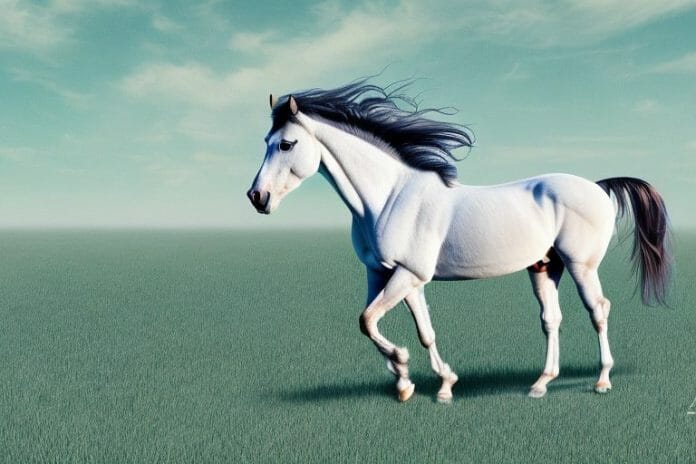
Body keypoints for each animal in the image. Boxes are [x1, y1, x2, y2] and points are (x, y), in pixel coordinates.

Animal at [246, 80, 672, 403]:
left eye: (286, 144)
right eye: (265, 139)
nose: (257, 197)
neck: (388, 197)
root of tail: (597, 187)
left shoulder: (408, 275)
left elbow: (369, 321)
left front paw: (408, 369)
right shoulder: (386, 275)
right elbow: (402, 327)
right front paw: (424, 384)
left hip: (582, 265)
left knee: (598, 309)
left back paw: (601, 381)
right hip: (545, 266)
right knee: (551, 319)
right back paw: (540, 384)